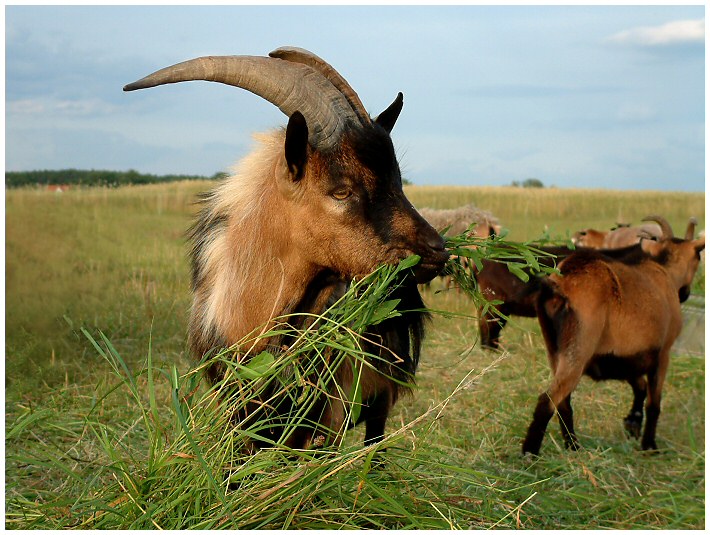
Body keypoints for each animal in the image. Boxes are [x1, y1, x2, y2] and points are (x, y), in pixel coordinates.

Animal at [124, 46, 448, 452]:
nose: (437, 251)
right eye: (341, 190)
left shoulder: (325, 417)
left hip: (379, 395)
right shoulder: (234, 407)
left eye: (398, 182)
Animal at [524, 216, 708, 454]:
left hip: (554, 350)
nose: (685, 294)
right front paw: (649, 446)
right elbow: (654, 402)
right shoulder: (663, 352)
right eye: (698, 256)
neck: (664, 271)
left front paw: (632, 424)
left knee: (563, 402)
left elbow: (640, 387)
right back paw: (530, 453)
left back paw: (573, 446)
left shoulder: (625, 356)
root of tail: (560, 285)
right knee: (548, 399)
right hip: (578, 350)